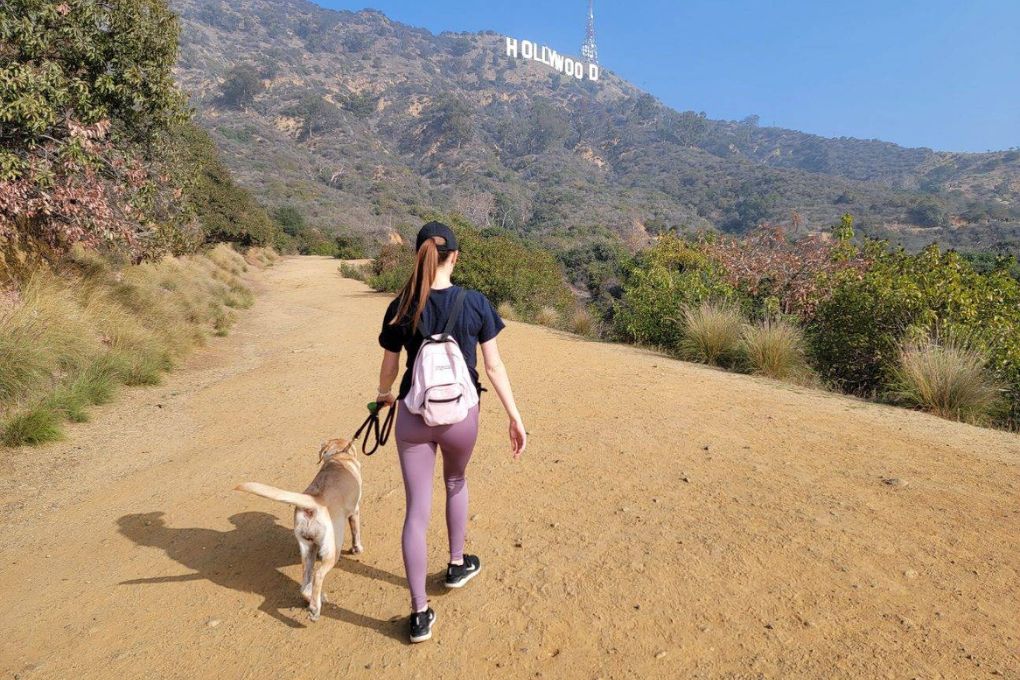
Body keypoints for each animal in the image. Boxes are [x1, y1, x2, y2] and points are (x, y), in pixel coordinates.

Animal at [236, 438, 365, 619]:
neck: (339, 456)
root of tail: (314, 502)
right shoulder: (355, 510)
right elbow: (356, 532)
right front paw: (357, 549)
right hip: (333, 549)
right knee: (318, 575)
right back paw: (316, 608)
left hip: (307, 549)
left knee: (304, 585)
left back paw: (315, 600)